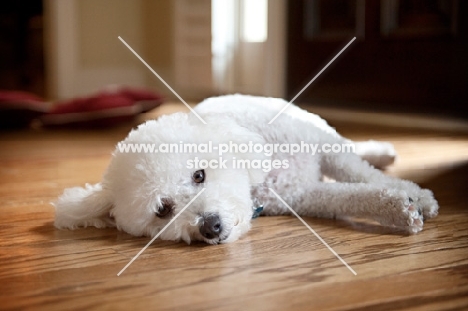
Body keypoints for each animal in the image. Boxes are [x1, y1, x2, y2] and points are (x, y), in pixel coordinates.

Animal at [54, 94, 438, 245]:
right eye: (163, 210)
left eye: (199, 175)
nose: (209, 226)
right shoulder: (303, 196)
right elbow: (353, 195)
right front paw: (399, 207)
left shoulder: (323, 148)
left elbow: (365, 175)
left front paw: (417, 197)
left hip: (320, 129)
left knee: (353, 147)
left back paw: (382, 152)